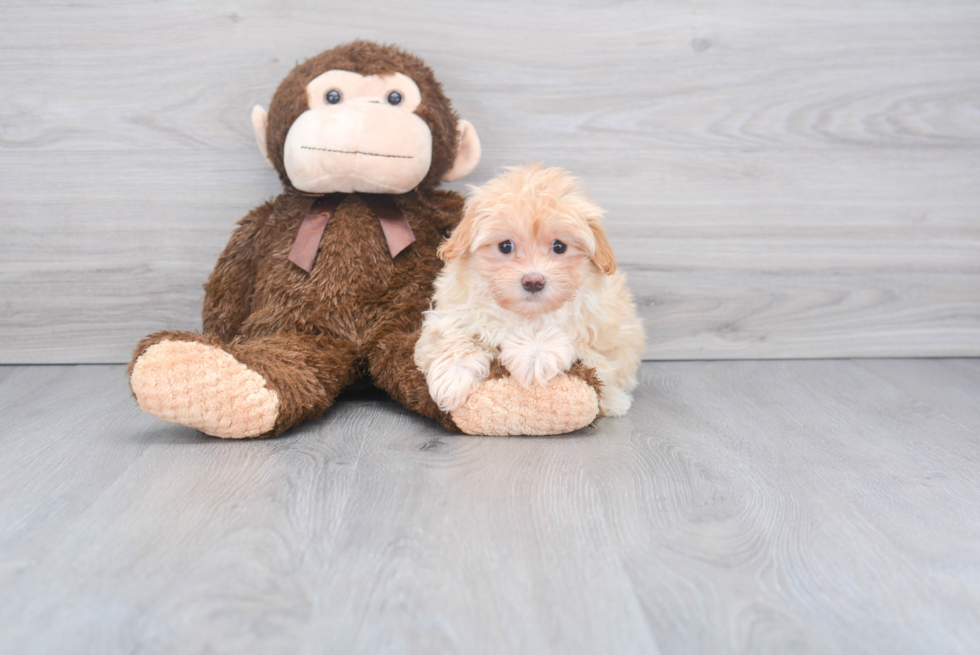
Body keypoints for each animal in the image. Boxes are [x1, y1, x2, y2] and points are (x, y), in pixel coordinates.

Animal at [412, 167, 644, 418]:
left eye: (559, 246)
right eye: (505, 246)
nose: (533, 281)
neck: (524, 314)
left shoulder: (601, 335)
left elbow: (573, 341)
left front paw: (535, 353)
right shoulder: (450, 314)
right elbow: (453, 335)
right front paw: (453, 378)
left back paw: (614, 401)